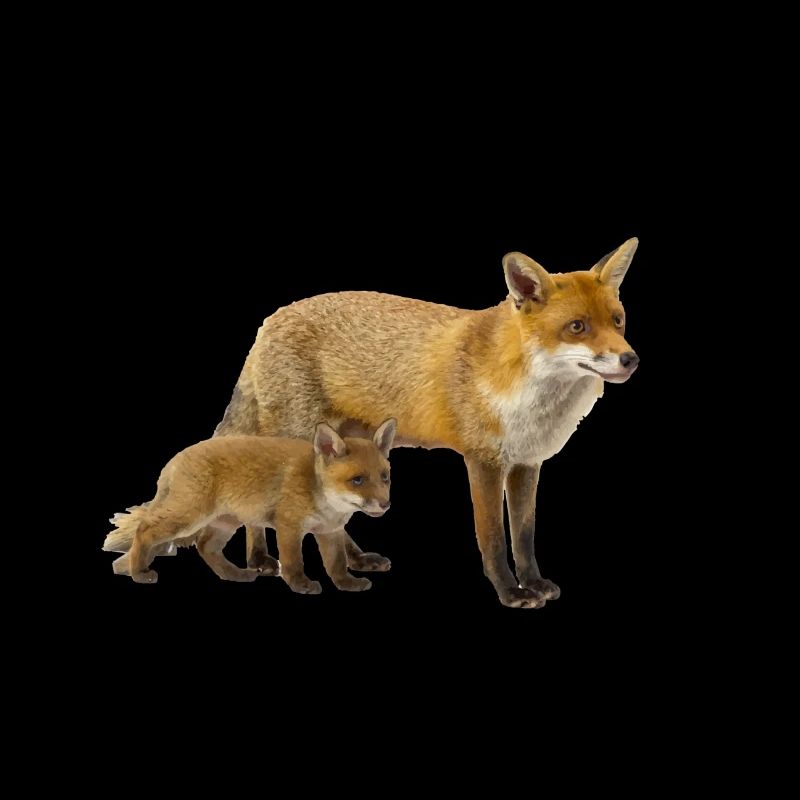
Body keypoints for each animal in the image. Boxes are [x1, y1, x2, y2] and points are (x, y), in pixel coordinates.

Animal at [103, 419, 397, 593]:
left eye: (384, 477)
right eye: (357, 480)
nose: (385, 504)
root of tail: (174, 459)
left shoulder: (329, 531)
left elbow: (337, 564)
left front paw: (347, 584)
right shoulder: (288, 526)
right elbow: (293, 562)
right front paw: (300, 584)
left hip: (225, 522)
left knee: (206, 547)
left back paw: (235, 575)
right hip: (188, 517)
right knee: (144, 530)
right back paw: (139, 572)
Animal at [202, 238, 640, 609]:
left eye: (618, 321)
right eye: (578, 327)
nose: (630, 359)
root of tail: (270, 319)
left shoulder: (526, 463)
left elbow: (524, 536)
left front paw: (532, 583)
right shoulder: (483, 460)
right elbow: (494, 539)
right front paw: (510, 592)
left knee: (334, 518)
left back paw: (352, 559)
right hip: (297, 439)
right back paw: (260, 559)